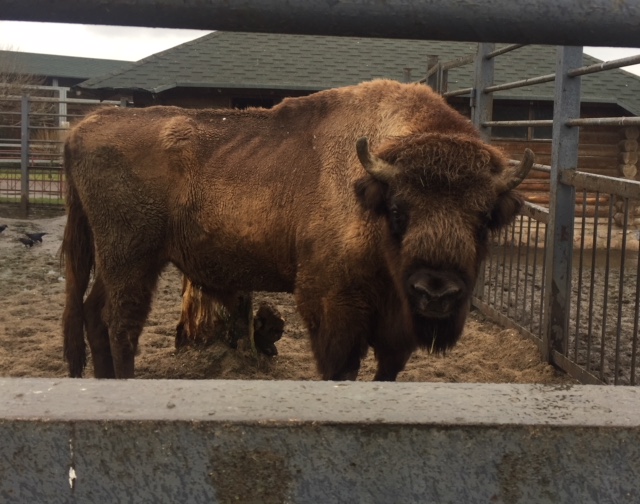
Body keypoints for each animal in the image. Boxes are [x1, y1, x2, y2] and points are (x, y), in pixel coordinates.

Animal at [62, 78, 532, 378]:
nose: (436, 292)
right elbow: (341, 369)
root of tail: (83, 128)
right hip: (131, 257)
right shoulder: (333, 307)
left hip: (116, 259)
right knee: (120, 324)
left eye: (484, 218)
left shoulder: (395, 327)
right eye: (399, 211)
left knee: (93, 314)